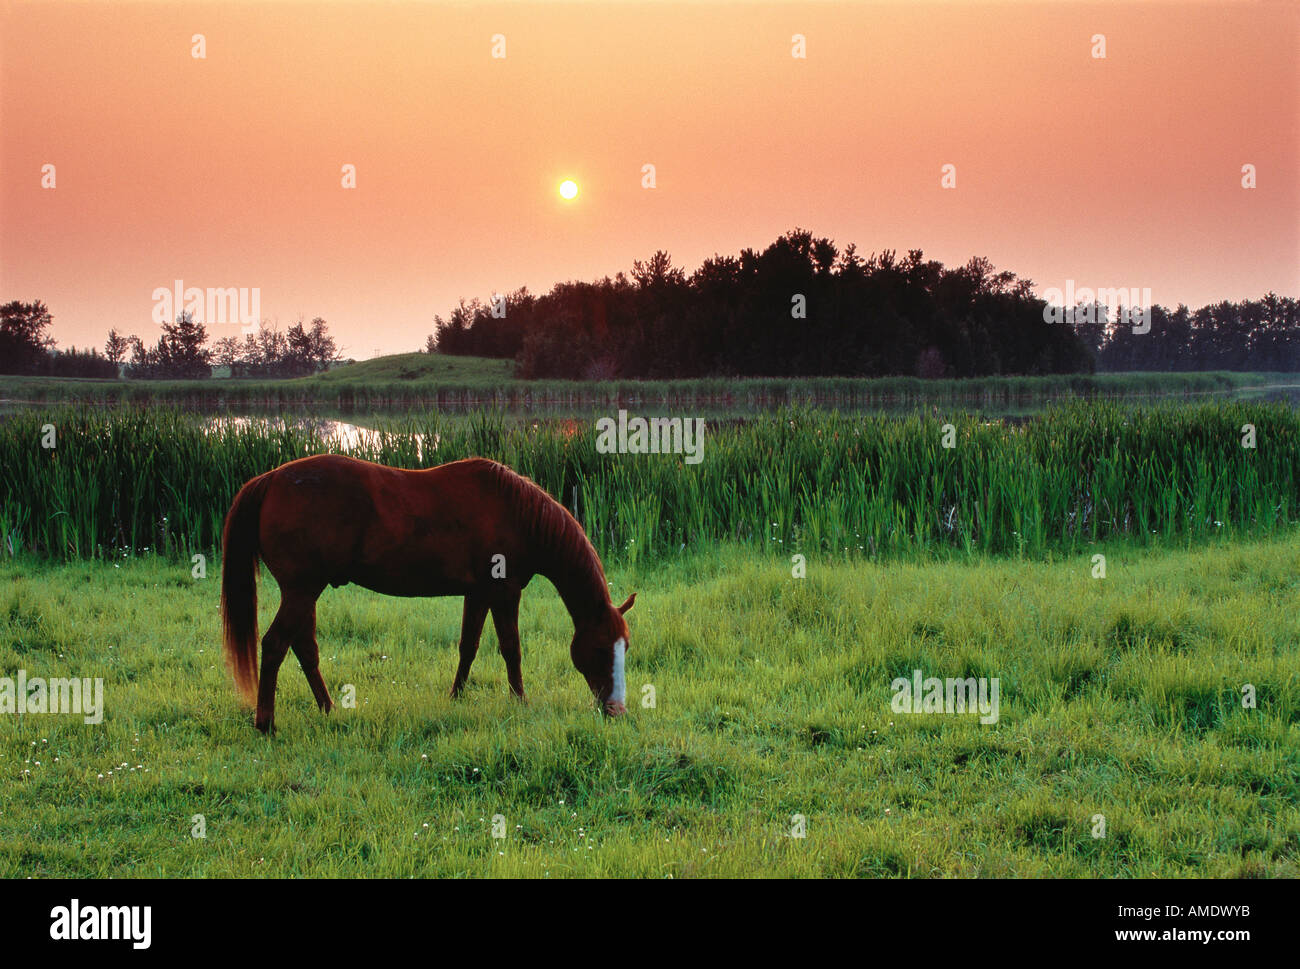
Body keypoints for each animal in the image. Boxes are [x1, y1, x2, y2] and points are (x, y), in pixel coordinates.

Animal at [220, 454, 635, 733]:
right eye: (600, 649)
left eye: (624, 648)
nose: (617, 710)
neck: (519, 514)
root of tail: (270, 480)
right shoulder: (504, 592)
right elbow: (511, 649)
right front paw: (520, 702)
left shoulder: (478, 593)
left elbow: (469, 646)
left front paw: (457, 696)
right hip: (302, 591)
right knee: (275, 644)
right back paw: (266, 723)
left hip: (304, 592)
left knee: (304, 648)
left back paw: (327, 708)